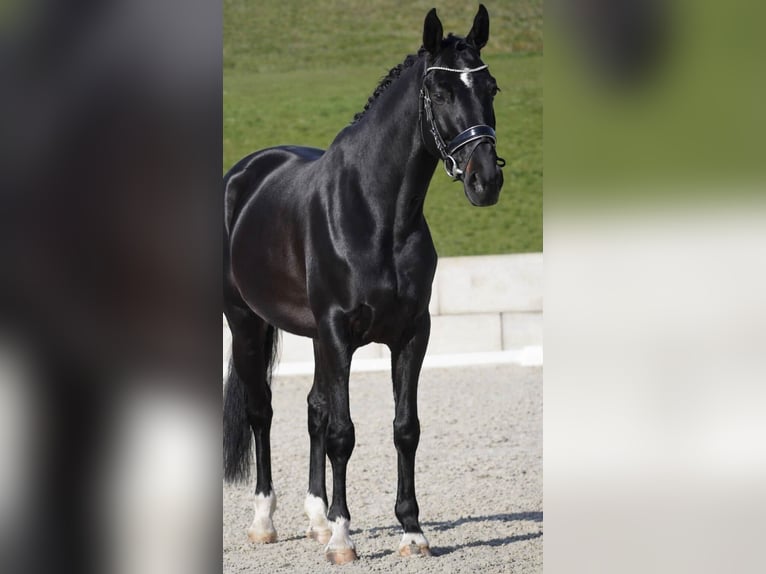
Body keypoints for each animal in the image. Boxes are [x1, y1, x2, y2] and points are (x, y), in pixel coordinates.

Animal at [223, 5, 504, 564]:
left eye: (491, 87)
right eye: (440, 92)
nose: (485, 180)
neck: (376, 213)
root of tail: (244, 174)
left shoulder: (411, 333)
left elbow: (404, 428)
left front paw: (411, 532)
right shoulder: (337, 332)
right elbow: (342, 433)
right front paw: (343, 538)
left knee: (312, 408)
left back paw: (314, 519)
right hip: (245, 322)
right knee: (262, 411)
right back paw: (265, 522)